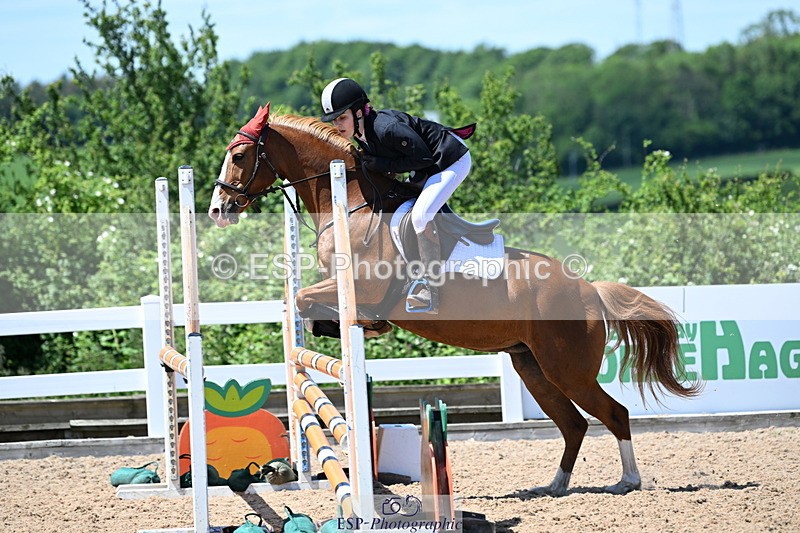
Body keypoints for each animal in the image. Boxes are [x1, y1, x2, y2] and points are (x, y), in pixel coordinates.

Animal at [208, 103, 701, 496]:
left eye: (239, 155)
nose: (217, 210)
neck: (350, 202)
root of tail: (587, 289)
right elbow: (303, 305)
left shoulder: (361, 287)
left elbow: (304, 300)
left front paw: (355, 324)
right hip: (533, 366)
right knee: (574, 424)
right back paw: (554, 486)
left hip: (568, 368)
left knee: (613, 414)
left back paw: (628, 481)